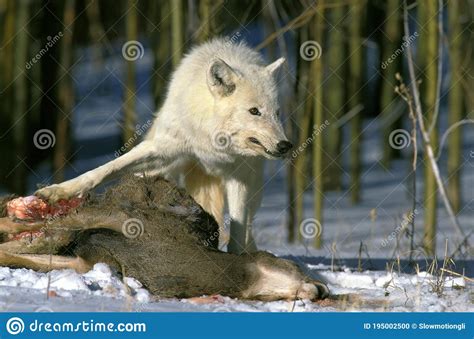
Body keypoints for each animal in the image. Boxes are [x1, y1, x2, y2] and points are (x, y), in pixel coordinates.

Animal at [37, 38, 290, 254]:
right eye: (254, 111)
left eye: (277, 113)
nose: (286, 145)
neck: (211, 144)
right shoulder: (162, 150)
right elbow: (105, 169)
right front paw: (58, 191)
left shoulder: (241, 176)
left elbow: (238, 229)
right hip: (165, 170)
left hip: (253, 187)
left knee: (248, 227)